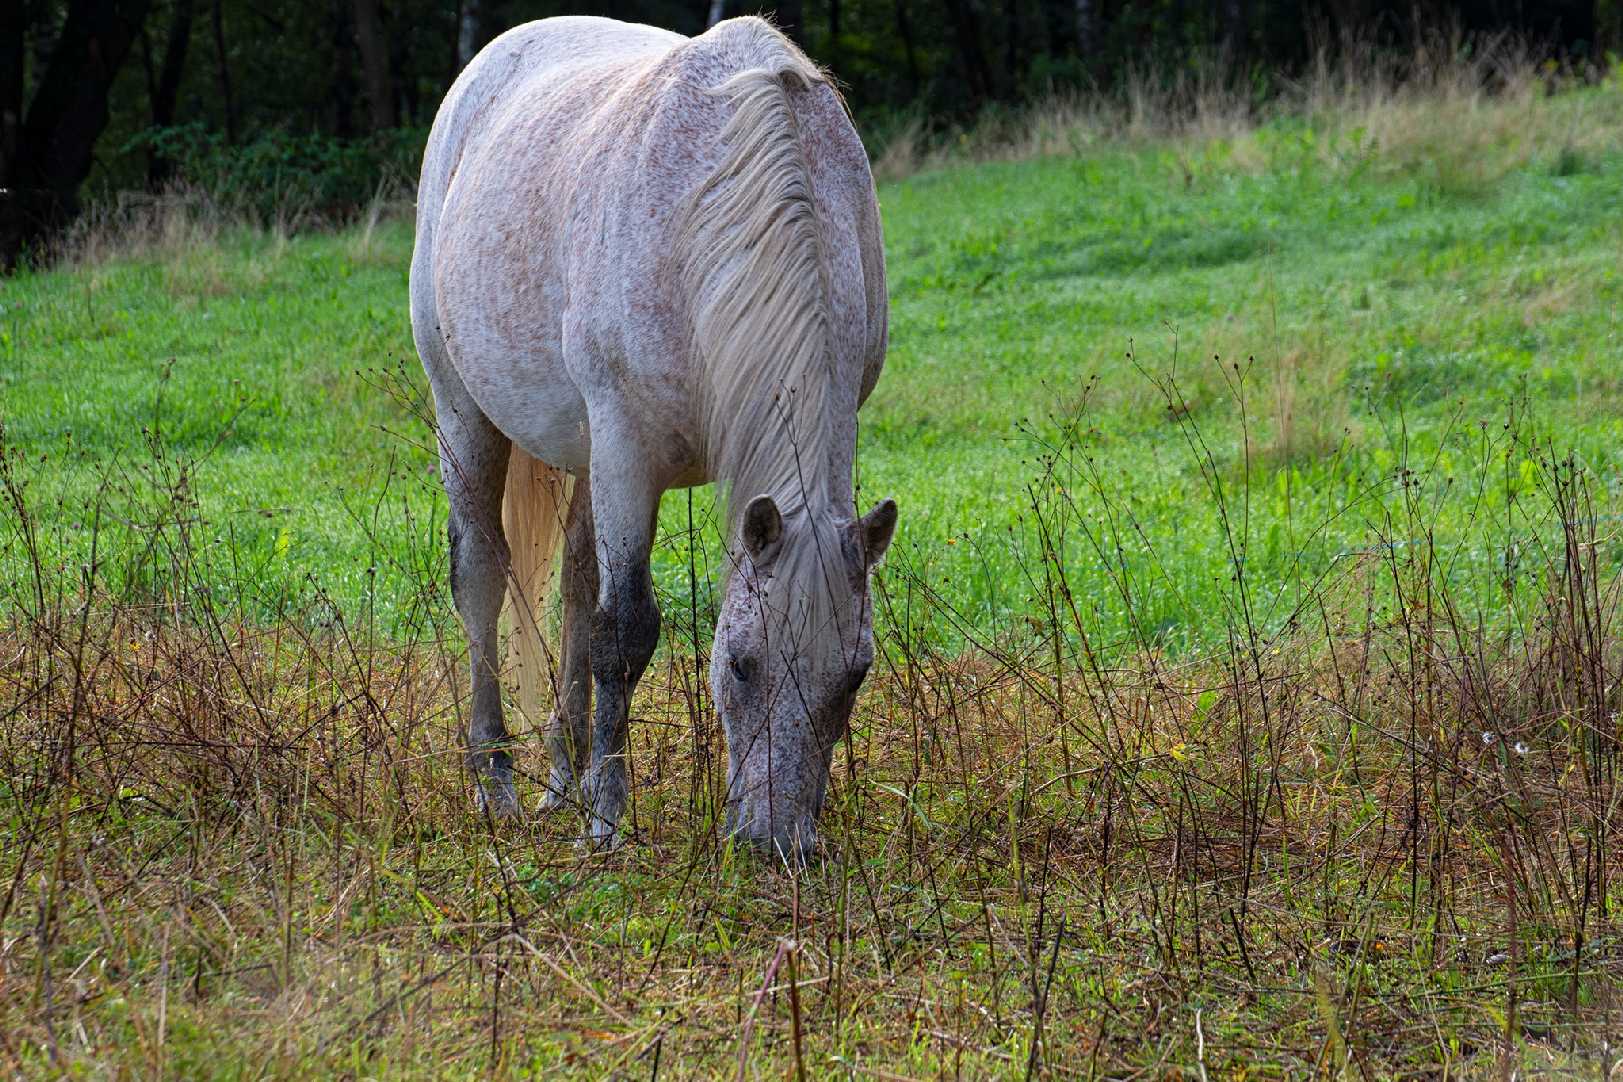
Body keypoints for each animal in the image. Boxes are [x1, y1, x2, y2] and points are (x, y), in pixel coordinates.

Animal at [405, 14, 895, 863]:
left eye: (855, 675)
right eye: (741, 666)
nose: (777, 844)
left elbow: (596, 613)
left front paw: (592, 799)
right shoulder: (627, 450)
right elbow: (625, 631)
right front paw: (607, 824)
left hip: (580, 456)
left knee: (573, 585)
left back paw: (560, 778)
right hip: (466, 415)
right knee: (482, 579)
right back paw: (495, 781)